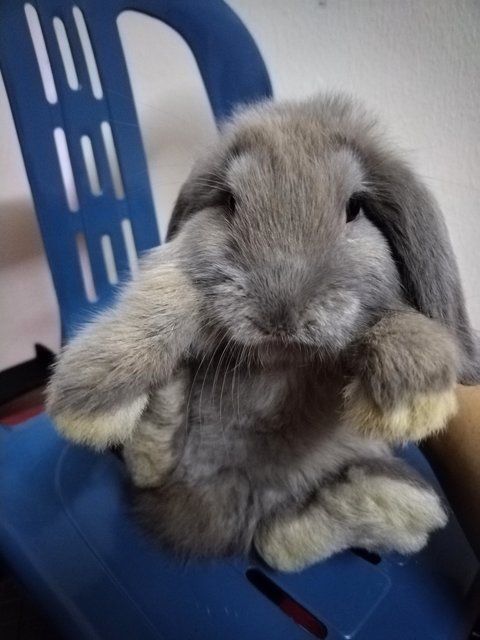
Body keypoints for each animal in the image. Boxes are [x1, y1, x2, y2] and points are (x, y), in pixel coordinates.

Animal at [46, 94, 480, 568]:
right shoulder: (178, 272)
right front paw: (90, 398)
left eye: (354, 209)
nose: (280, 314)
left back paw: (371, 505)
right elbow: (163, 300)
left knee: (278, 542)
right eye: (229, 201)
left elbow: (398, 322)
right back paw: (163, 409)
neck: (282, 363)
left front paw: (413, 403)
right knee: (153, 475)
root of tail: (236, 498)